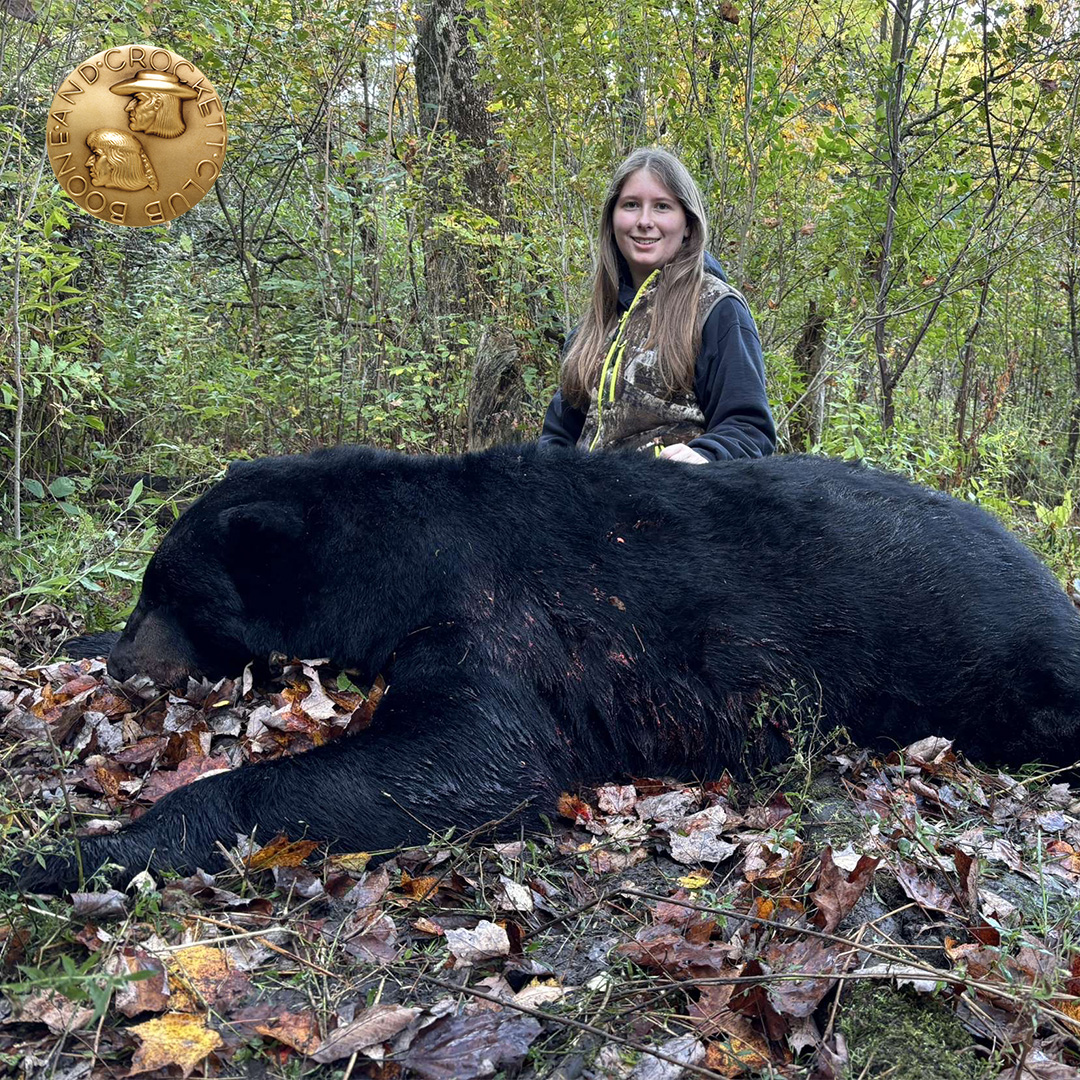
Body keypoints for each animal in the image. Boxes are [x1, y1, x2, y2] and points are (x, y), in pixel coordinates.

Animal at [17, 445, 1080, 894]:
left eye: (166, 587)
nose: (126, 658)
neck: (389, 551)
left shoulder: (497, 619)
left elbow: (472, 758)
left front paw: (70, 853)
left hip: (999, 654)